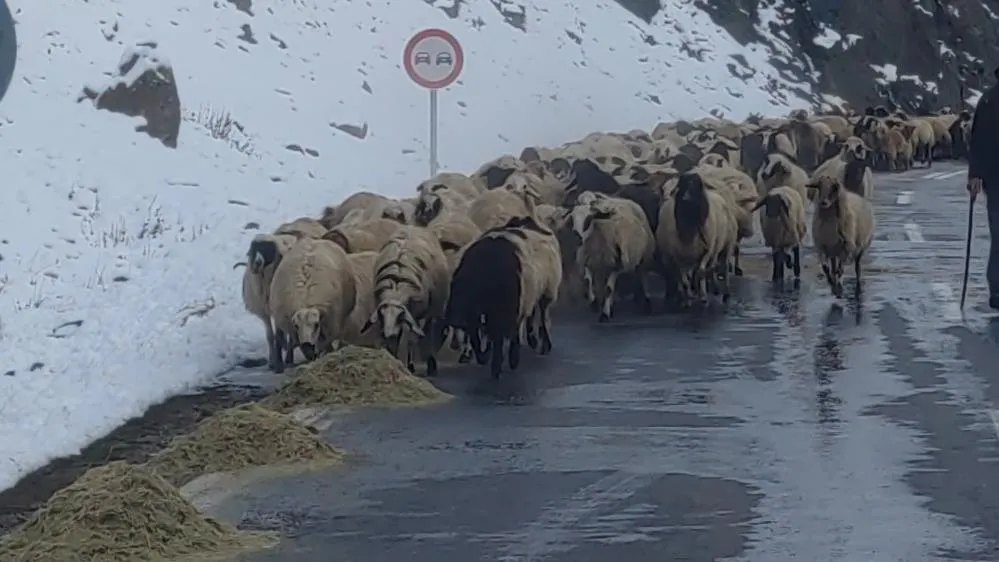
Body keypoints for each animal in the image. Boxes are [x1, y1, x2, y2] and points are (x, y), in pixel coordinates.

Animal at [268, 236, 358, 372]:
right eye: (296, 325)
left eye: (316, 324)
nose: (307, 346)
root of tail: (312, 239)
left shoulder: (329, 327)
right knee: (279, 336)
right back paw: (281, 364)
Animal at [362, 225, 452, 374]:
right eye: (381, 315)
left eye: (399, 317)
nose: (388, 334)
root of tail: (415, 227)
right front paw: (392, 359)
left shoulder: (414, 312)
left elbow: (412, 338)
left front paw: (410, 366)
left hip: (434, 308)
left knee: (430, 330)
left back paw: (430, 361)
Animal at [656, 171, 744, 304]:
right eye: (682, 185)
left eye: (695, 186)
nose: (686, 198)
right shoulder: (679, 256)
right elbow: (684, 279)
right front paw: (687, 297)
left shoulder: (707, 251)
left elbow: (700, 273)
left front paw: (702, 296)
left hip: (726, 244)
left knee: (722, 266)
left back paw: (725, 293)